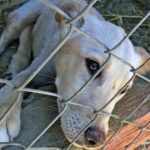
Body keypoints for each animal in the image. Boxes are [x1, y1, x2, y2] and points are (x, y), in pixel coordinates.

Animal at [0, 0, 149, 149]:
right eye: (93, 66)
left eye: (123, 90)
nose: (97, 140)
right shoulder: (38, 66)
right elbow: (19, 81)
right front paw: (4, 113)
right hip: (21, 17)